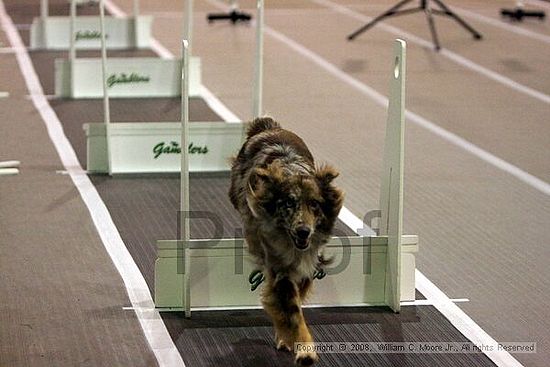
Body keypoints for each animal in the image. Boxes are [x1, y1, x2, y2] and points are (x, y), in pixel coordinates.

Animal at [230, 117, 344, 366]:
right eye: (288, 203)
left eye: (314, 204)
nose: (303, 231)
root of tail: (269, 127)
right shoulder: (279, 268)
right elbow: (292, 311)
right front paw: (304, 349)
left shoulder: (310, 261)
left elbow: (297, 299)